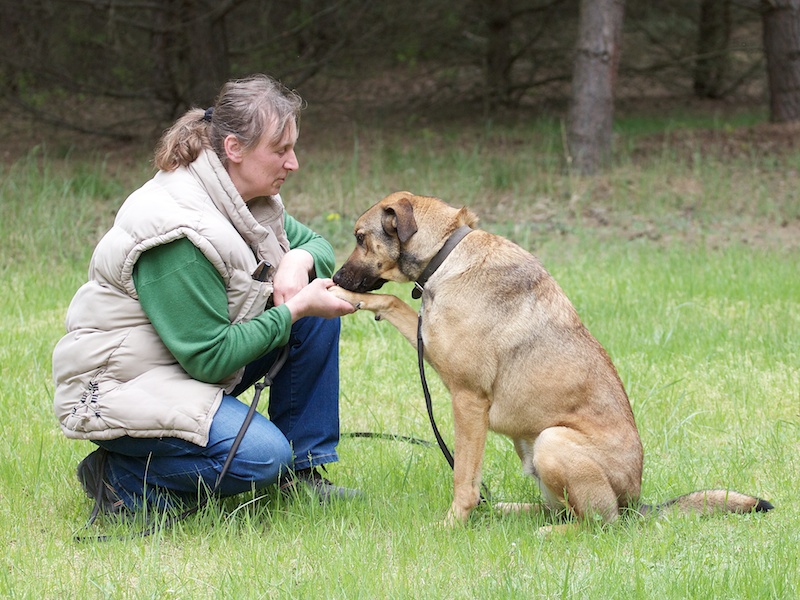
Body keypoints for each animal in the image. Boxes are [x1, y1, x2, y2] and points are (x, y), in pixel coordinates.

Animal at [331, 191, 773, 527]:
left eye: (360, 237)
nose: (335, 278)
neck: (447, 253)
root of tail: (637, 503)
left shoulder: (468, 400)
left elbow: (464, 479)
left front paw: (452, 525)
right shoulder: (429, 340)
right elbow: (391, 301)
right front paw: (344, 298)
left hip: (552, 442)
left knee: (596, 524)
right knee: (559, 511)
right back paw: (509, 510)